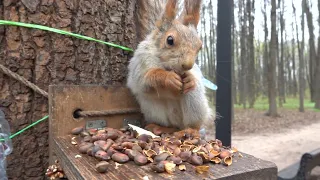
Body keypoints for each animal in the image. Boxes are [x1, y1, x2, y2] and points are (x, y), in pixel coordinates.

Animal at [126, 0, 214, 138]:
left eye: (200, 46)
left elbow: (195, 77)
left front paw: (190, 79)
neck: (166, 65)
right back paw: (159, 128)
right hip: (152, 107)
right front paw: (168, 78)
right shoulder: (140, 63)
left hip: (195, 102)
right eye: (170, 40)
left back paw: (191, 130)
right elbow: (144, 79)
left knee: (193, 124)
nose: (187, 65)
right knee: (170, 125)